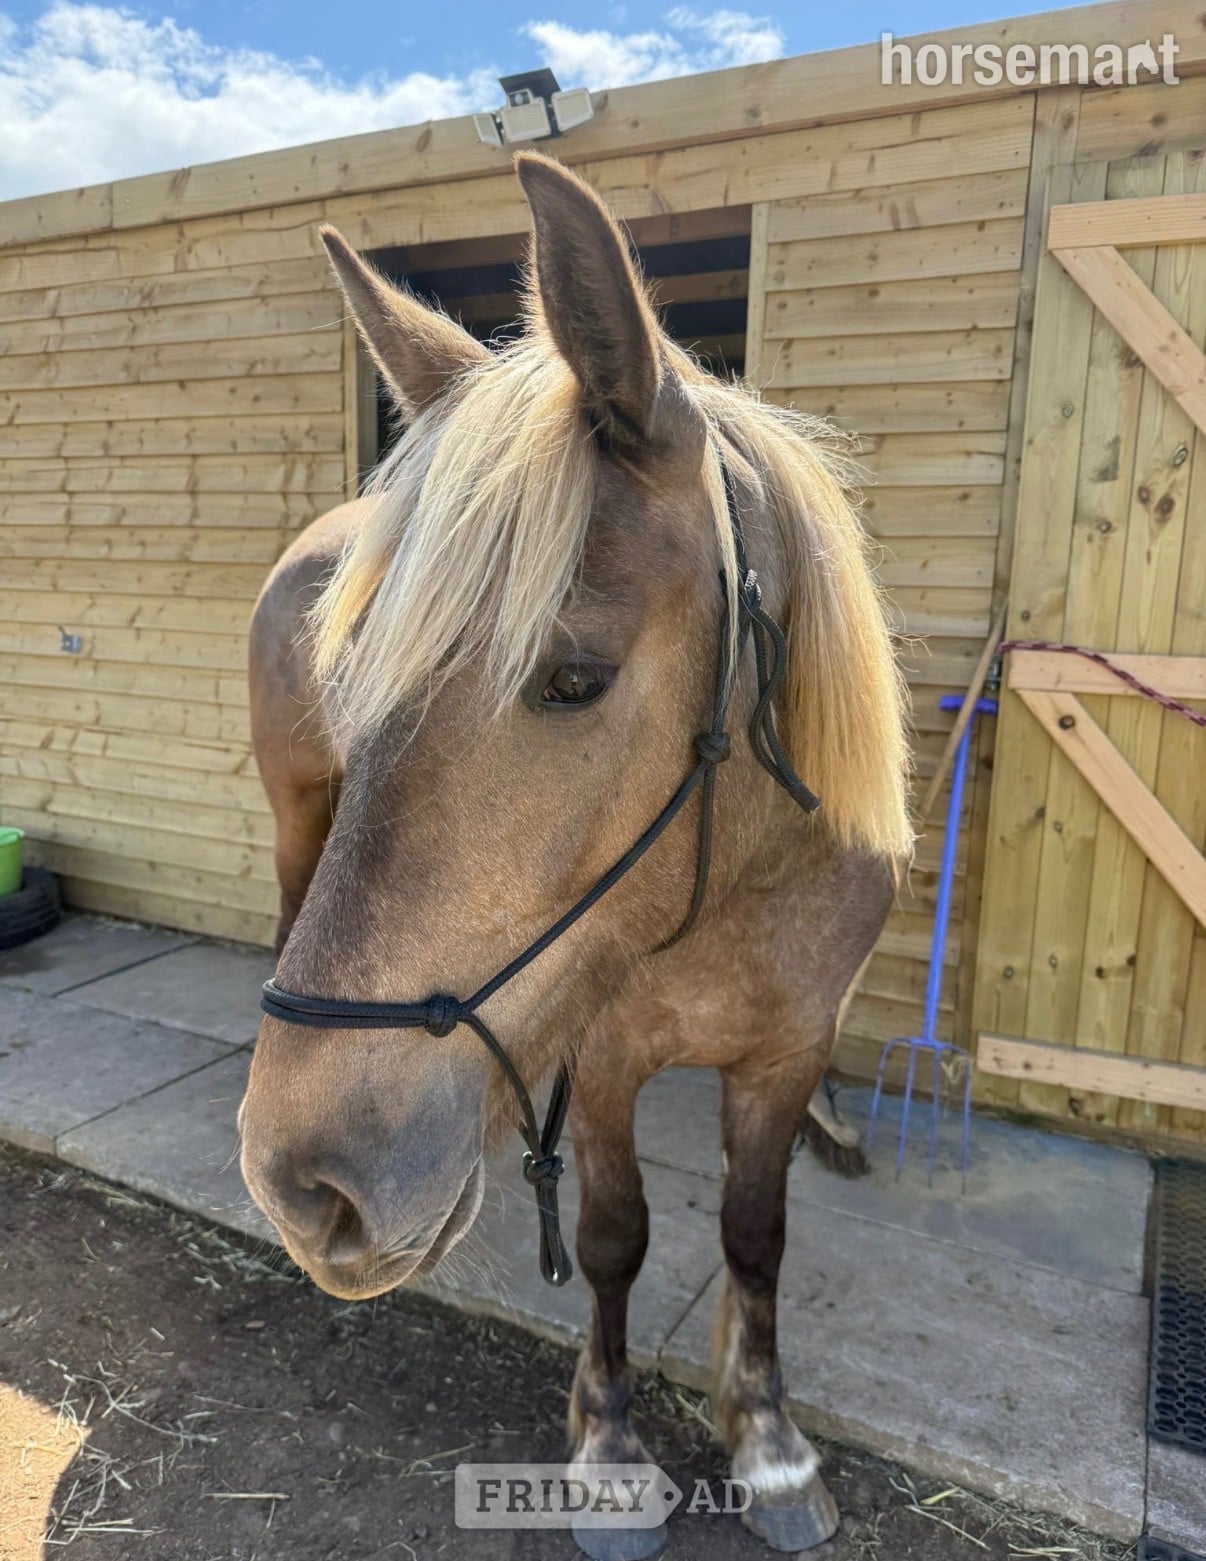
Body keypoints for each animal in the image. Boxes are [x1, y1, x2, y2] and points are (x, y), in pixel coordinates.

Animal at [241, 151, 911, 1559]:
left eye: (573, 677)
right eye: (350, 668)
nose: (302, 1180)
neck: (738, 891)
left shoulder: (785, 1048)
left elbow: (755, 1234)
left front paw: (769, 1440)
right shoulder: (599, 1055)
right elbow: (613, 1236)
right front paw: (607, 1445)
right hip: (296, 816)